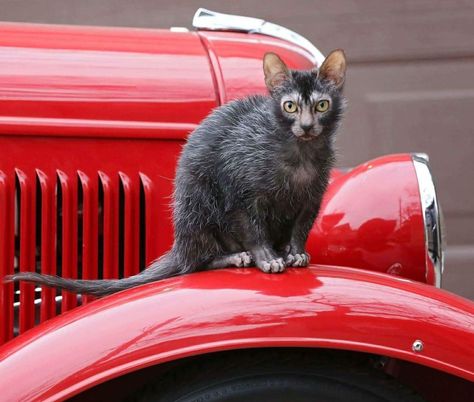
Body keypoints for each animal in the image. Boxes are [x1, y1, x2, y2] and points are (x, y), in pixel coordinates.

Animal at [6, 49, 348, 296]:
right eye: (290, 106)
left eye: (321, 105)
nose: (307, 126)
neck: (299, 155)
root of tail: (179, 244)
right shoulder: (238, 189)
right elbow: (253, 228)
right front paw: (268, 258)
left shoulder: (313, 196)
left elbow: (301, 227)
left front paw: (295, 254)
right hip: (198, 200)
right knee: (195, 262)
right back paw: (235, 257)